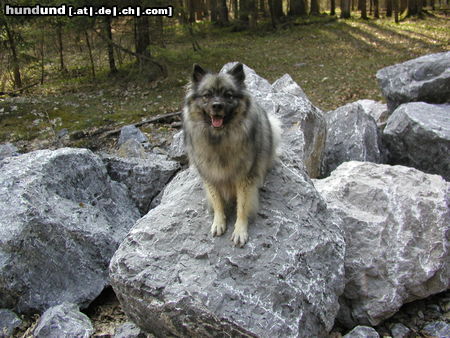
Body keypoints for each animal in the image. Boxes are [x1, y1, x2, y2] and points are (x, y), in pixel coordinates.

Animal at [181, 62, 280, 246]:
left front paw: (240, 230)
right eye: (207, 95)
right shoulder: (210, 175)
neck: (220, 139)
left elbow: (242, 205)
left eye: (228, 95)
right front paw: (218, 223)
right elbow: (217, 201)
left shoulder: (244, 178)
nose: (217, 105)